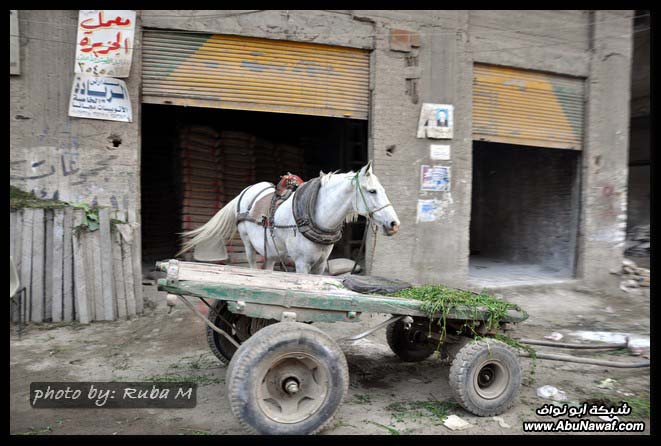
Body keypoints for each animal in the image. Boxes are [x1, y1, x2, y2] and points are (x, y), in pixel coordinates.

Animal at [177, 162, 398, 274]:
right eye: (372, 191)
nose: (394, 224)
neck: (316, 216)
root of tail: (247, 190)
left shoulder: (320, 265)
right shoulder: (301, 264)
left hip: (270, 251)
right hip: (248, 243)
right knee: (252, 264)